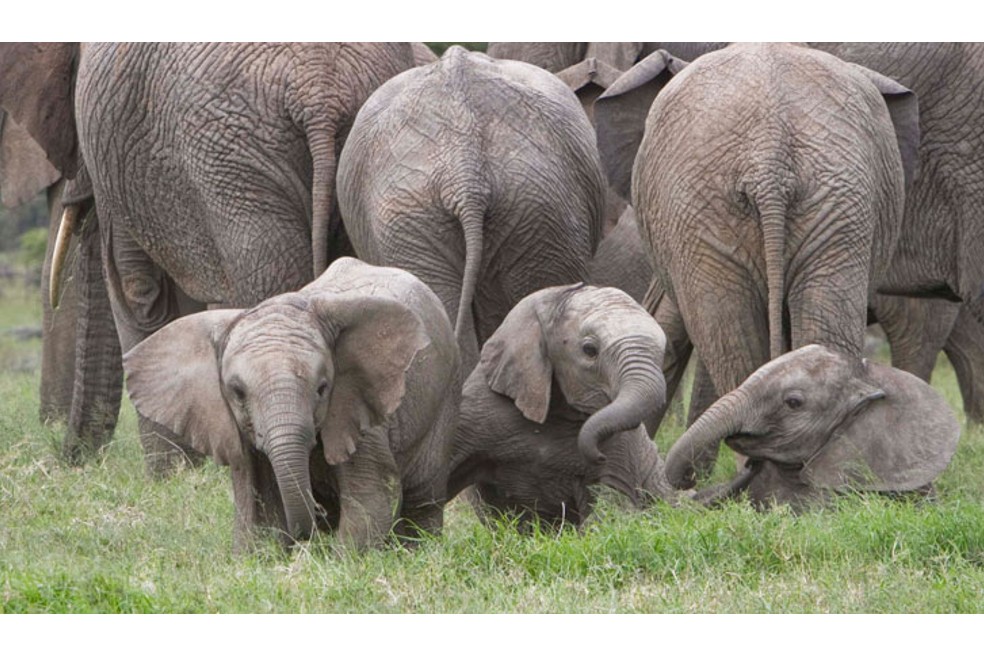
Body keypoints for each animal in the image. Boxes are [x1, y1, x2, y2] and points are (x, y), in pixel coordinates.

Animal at [0, 42, 417, 471]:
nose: (67, 458)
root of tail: (320, 94)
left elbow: (141, 291)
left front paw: (171, 475)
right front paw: (190, 471)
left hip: (233, 163)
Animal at [122, 257, 460, 551]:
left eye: (322, 388)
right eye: (237, 392)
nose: (318, 517)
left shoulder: (358, 408)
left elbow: (372, 497)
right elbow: (257, 517)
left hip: (442, 399)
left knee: (424, 495)